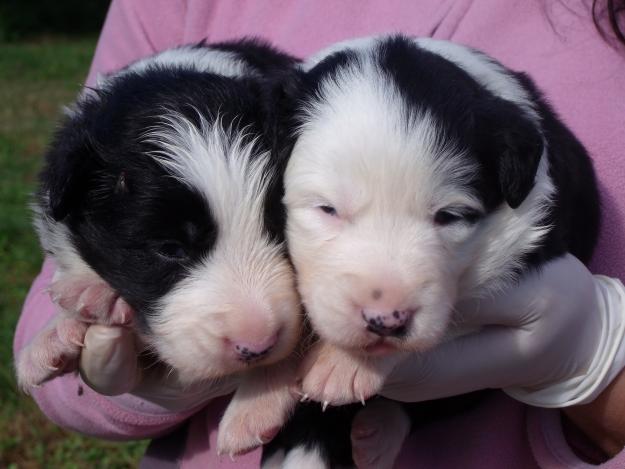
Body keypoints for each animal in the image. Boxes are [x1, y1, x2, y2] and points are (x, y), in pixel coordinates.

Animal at [268, 34, 600, 466]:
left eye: (450, 216)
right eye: (327, 209)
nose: (385, 321)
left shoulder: (526, 238)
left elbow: (456, 316)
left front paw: (341, 364)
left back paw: (378, 434)